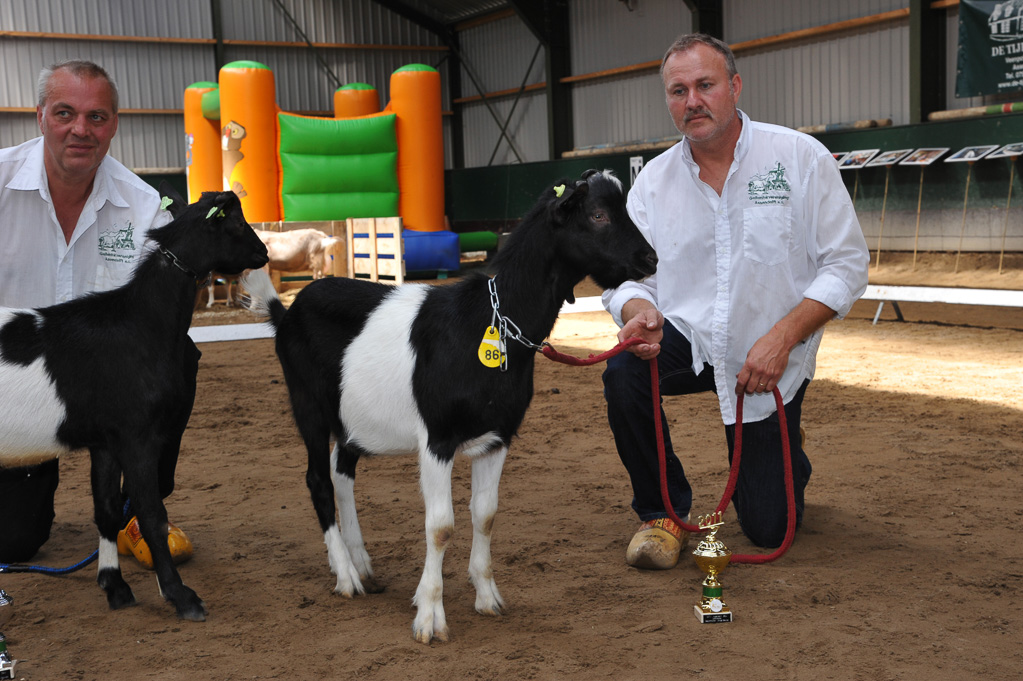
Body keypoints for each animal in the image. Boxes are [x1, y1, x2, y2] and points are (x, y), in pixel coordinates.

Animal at [0, 188, 268, 617]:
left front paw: (115, 586)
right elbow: (152, 512)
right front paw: (180, 595)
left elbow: (108, 509)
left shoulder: (106, 442)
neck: (140, 323)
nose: (264, 252)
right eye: (239, 223)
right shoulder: (137, 436)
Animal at [241, 166, 654, 638]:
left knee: (341, 472)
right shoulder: (437, 439)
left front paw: (487, 597)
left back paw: (361, 564)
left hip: (353, 420)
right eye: (599, 214)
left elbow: (485, 514)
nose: (651, 260)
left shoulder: (497, 436)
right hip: (307, 404)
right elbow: (440, 526)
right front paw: (429, 616)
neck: (487, 322)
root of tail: (285, 313)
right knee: (318, 480)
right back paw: (346, 576)